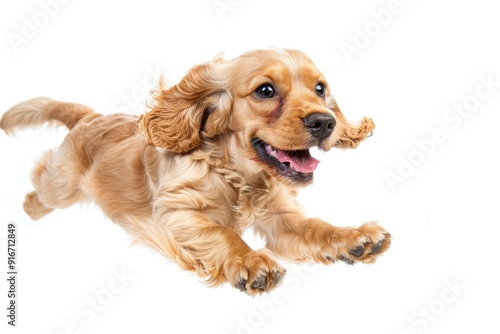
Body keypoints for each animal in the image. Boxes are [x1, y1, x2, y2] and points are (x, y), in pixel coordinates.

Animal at [0, 49, 390, 294]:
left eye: (320, 89)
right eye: (265, 90)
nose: (325, 122)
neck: (240, 176)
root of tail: (90, 117)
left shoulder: (281, 219)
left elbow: (316, 228)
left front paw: (353, 237)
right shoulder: (176, 212)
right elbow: (223, 232)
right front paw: (249, 261)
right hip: (61, 185)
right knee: (41, 176)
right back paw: (29, 207)